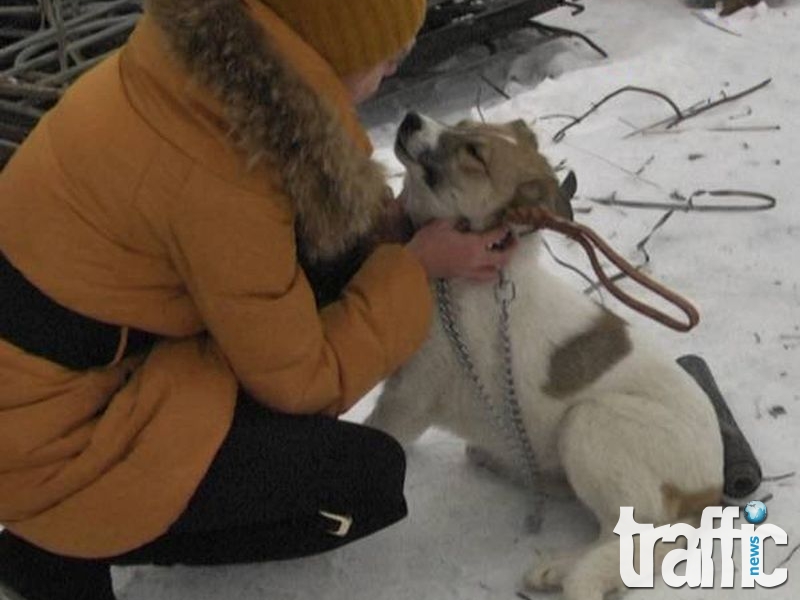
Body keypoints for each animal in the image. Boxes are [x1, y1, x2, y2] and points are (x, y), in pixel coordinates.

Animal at [366, 112, 728, 600]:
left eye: (474, 153)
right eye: (461, 123)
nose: (410, 119)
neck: (454, 284)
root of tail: (711, 487)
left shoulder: (408, 399)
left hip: (589, 422)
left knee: (640, 536)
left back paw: (571, 573)